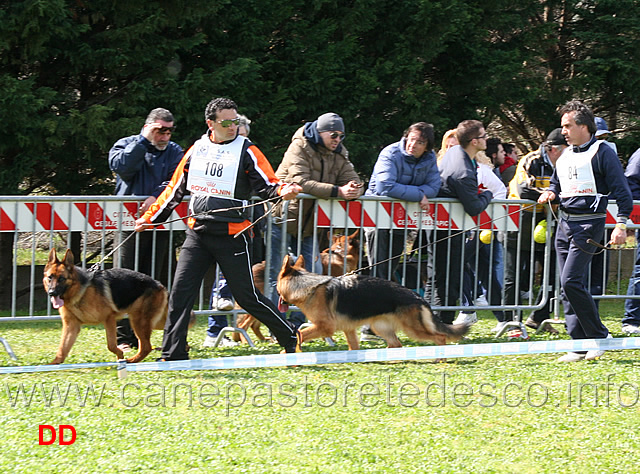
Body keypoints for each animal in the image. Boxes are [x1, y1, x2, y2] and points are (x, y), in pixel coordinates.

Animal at [276, 254, 470, 350]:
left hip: (413, 330)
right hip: (380, 327)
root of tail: (418, 297)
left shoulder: (325, 327)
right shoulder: (348, 329)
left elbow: (301, 334)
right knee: (396, 344)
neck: (307, 286)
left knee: (440, 337)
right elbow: (353, 348)